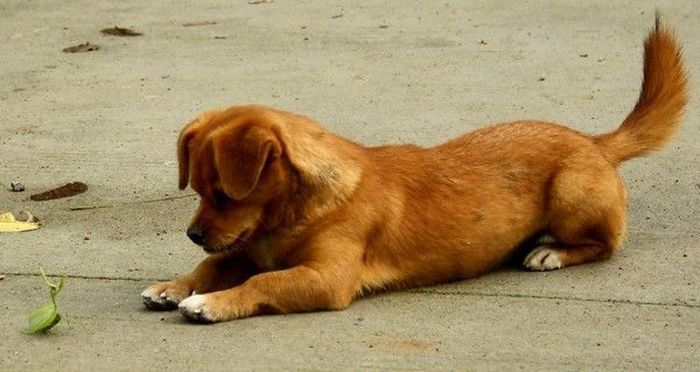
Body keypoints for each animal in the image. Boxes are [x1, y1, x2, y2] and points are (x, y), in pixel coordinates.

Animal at [141, 19, 684, 322]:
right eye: (198, 190)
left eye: (226, 193)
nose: (192, 234)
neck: (293, 213)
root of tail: (593, 141)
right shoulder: (245, 250)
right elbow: (211, 267)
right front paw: (175, 286)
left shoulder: (325, 277)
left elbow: (262, 284)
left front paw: (211, 303)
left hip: (572, 195)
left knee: (604, 245)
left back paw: (550, 252)